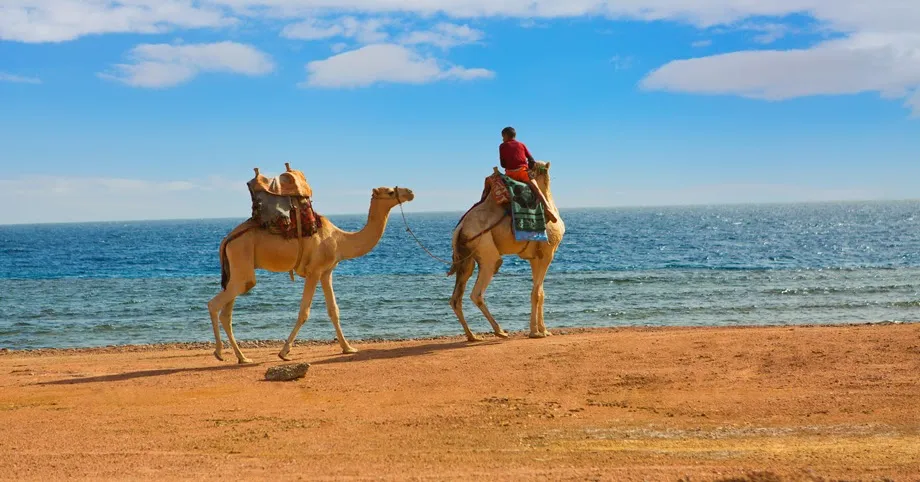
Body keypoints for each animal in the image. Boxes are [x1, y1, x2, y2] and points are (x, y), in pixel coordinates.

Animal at [207, 186, 416, 364]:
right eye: (390, 192)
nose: (410, 192)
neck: (340, 240)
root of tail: (226, 240)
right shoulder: (314, 271)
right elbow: (304, 312)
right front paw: (284, 352)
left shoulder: (326, 272)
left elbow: (334, 310)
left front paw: (348, 348)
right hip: (241, 261)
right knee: (215, 304)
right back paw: (219, 353)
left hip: (237, 271)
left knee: (227, 313)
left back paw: (242, 357)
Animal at [450, 161, 564, 338]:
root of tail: (460, 227)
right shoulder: (547, 254)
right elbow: (537, 293)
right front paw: (537, 332)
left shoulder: (535, 258)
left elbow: (540, 293)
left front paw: (542, 329)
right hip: (487, 252)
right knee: (477, 293)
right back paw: (500, 331)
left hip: (465, 259)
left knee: (456, 298)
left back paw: (472, 336)